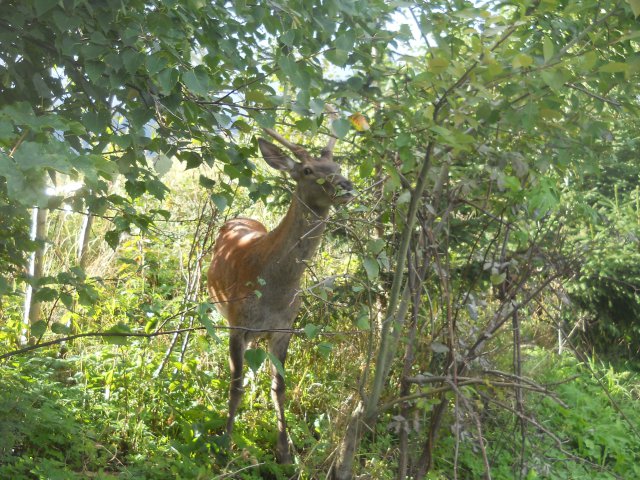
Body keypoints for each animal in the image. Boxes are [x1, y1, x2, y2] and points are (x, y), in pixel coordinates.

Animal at [206, 119, 352, 462]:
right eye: (308, 170)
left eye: (338, 166)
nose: (346, 185)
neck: (274, 291)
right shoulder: (238, 324)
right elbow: (235, 385)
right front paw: (224, 446)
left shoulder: (285, 326)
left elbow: (279, 386)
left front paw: (285, 451)